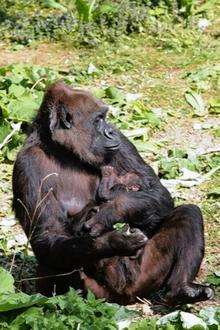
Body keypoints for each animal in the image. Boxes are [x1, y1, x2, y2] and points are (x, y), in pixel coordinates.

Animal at [12, 82, 213, 304]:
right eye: (98, 119)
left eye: (104, 118)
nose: (110, 131)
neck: (61, 151)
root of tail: (125, 297)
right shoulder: (27, 164)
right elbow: (48, 234)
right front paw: (113, 242)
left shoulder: (121, 142)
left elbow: (158, 192)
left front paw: (111, 212)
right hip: (98, 296)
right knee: (52, 256)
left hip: (144, 278)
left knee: (188, 213)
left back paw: (182, 289)